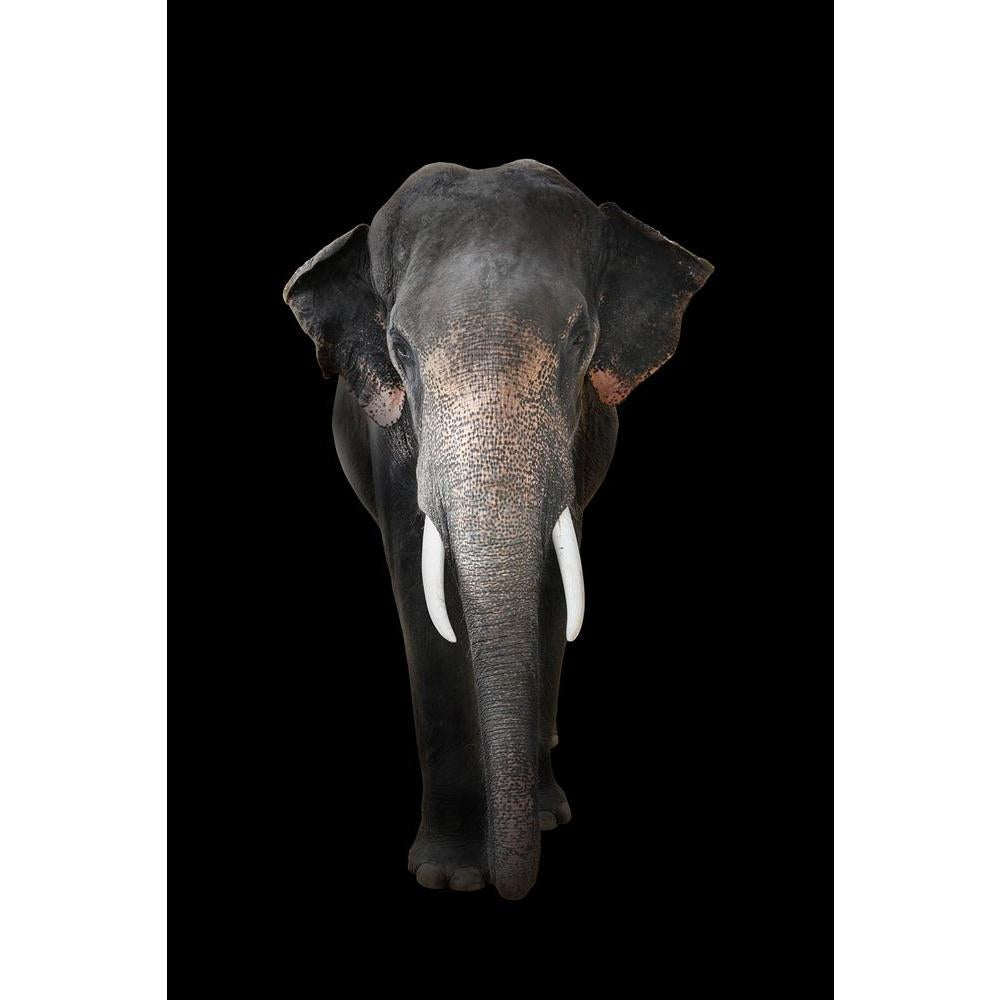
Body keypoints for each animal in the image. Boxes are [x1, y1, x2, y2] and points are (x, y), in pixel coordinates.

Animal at [283, 160, 712, 899]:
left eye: (579, 339)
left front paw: (535, 824)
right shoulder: (395, 440)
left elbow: (551, 594)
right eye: (399, 347)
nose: (513, 889)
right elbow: (419, 591)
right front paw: (452, 876)